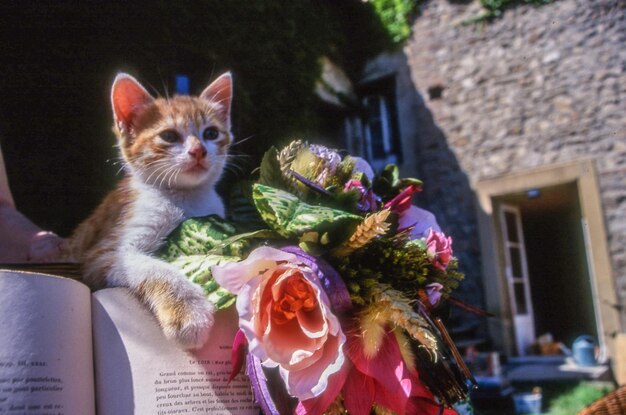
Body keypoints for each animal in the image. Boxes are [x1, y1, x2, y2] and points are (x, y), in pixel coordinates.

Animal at [68, 72, 233, 352]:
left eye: (211, 133)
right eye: (169, 136)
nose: (199, 150)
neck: (186, 198)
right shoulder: (104, 253)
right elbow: (154, 268)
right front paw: (188, 311)